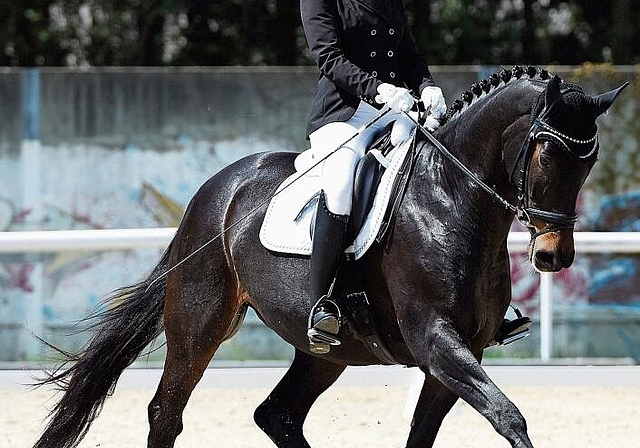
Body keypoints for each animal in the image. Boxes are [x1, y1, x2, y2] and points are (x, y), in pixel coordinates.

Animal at [32, 67, 628, 448]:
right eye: (546, 153)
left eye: (589, 160)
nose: (553, 255)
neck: (449, 199)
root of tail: (217, 190)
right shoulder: (436, 343)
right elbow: (510, 417)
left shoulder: (461, 353)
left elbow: (428, 434)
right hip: (199, 323)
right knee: (167, 412)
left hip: (328, 350)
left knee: (277, 416)